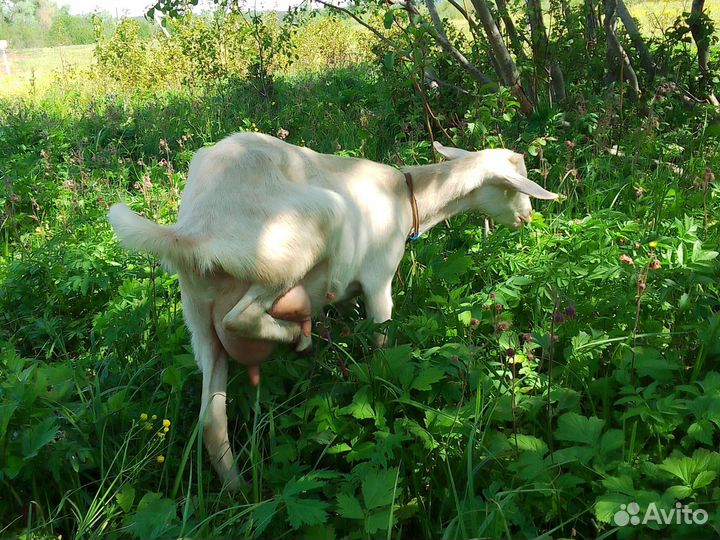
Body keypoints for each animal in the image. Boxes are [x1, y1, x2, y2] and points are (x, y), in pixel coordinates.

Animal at [108, 132, 558, 489]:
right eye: (514, 186)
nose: (528, 217)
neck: (405, 196)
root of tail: (194, 230)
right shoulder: (378, 281)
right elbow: (382, 349)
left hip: (199, 317)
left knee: (212, 421)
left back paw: (242, 494)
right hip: (292, 244)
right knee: (243, 316)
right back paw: (297, 335)